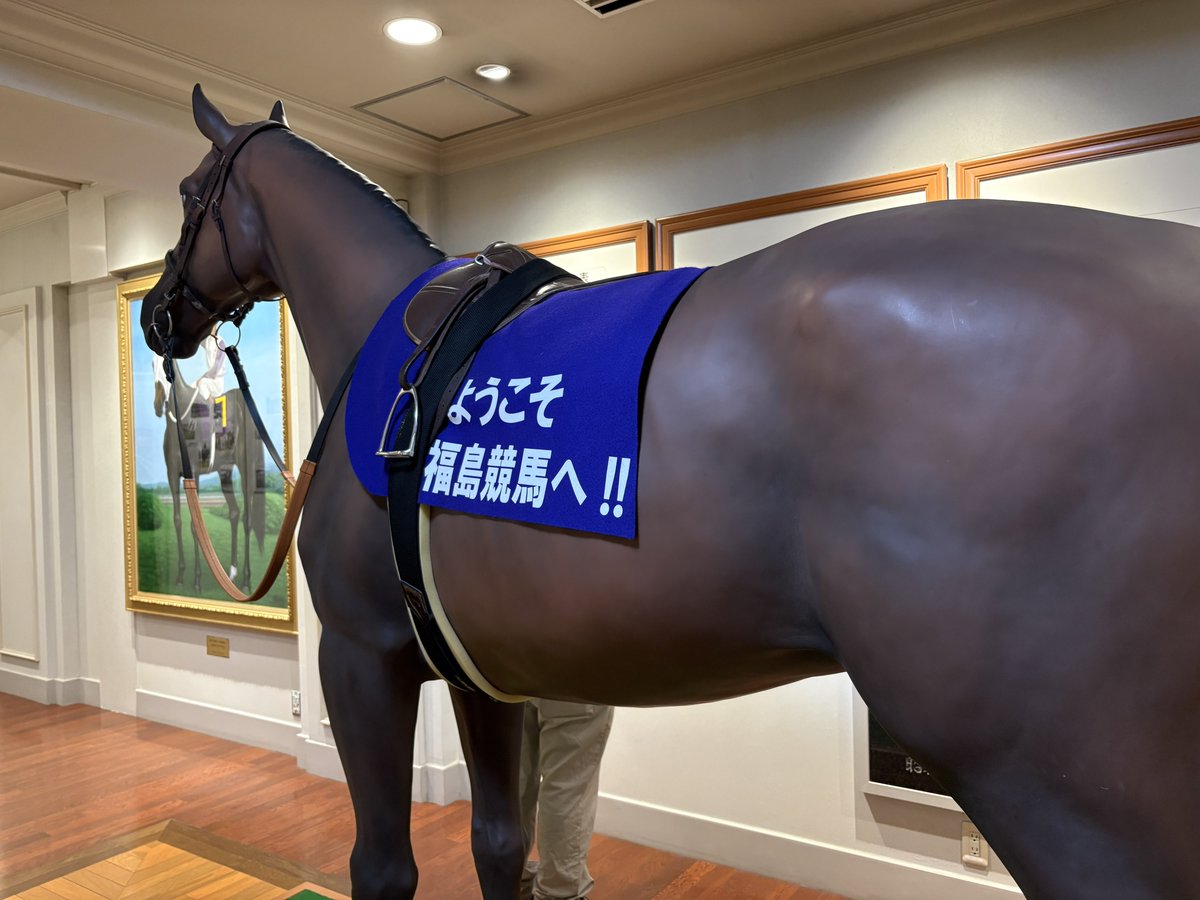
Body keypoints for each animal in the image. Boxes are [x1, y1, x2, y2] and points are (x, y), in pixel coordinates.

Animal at [152, 370, 266, 592]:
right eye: (153, 366)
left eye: (164, 367)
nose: (158, 404)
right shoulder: (172, 477)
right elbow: (178, 521)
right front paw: (180, 575)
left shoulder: (194, 475)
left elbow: (195, 525)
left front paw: (196, 579)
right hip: (225, 473)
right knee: (234, 512)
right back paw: (231, 572)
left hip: (247, 470)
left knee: (247, 519)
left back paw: (245, 579)